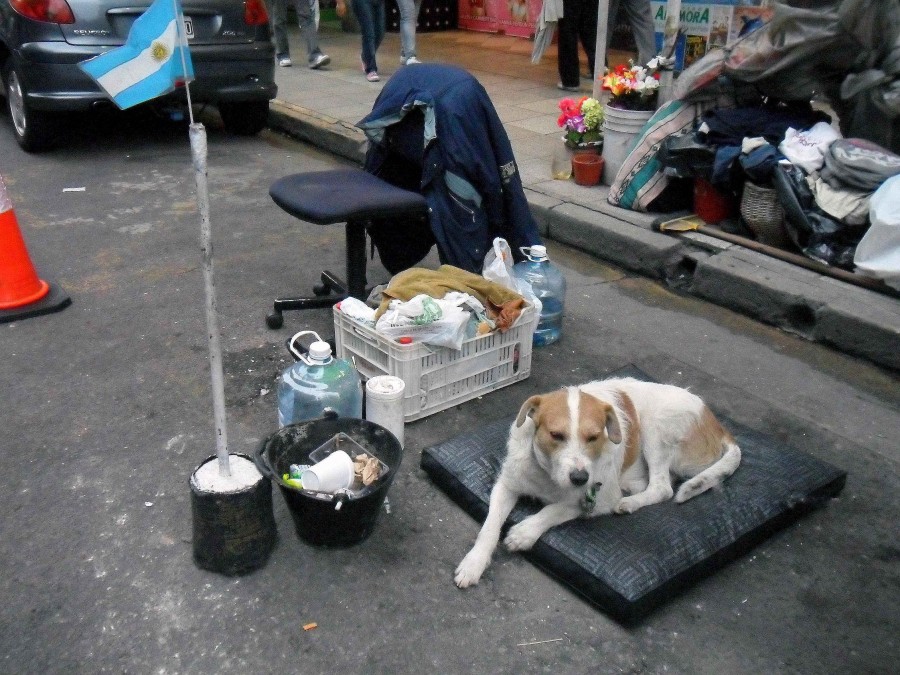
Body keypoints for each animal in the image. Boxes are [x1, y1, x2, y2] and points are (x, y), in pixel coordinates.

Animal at [454, 378, 740, 588]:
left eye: (593, 437)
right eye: (556, 435)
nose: (580, 478)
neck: (548, 475)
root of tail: (718, 424)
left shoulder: (597, 498)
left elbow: (554, 509)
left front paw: (525, 532)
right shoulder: (506, 485)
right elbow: (489, 527)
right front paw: (474, 563)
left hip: (658, 428)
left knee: (663, 487)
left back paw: (629, 502)